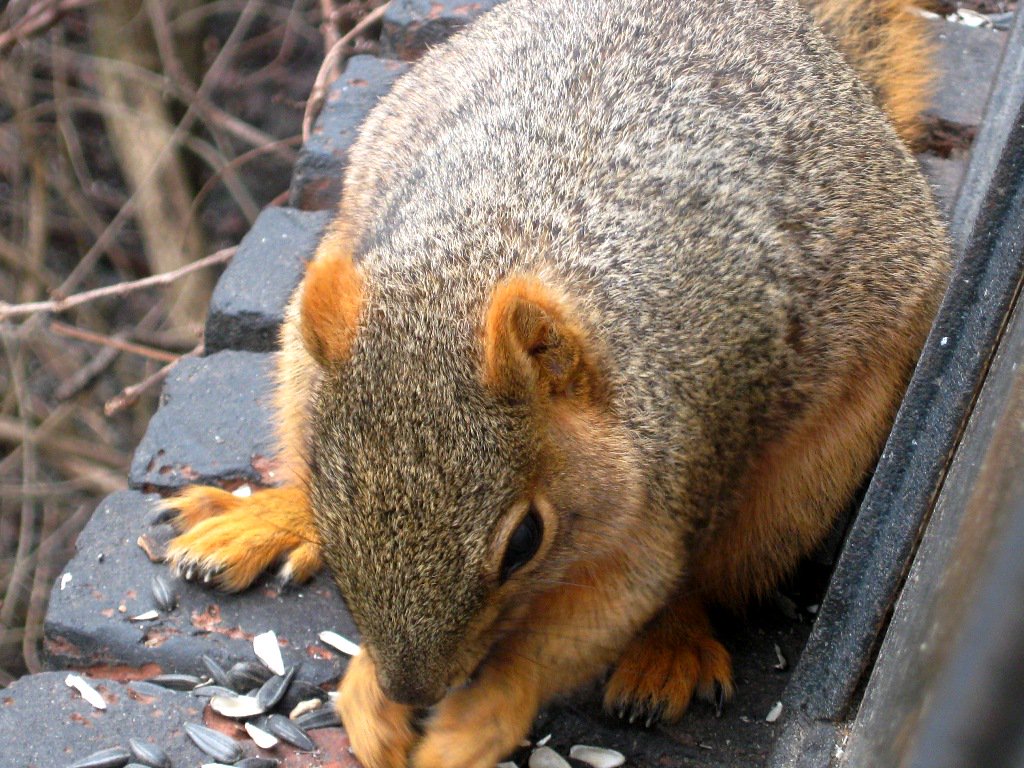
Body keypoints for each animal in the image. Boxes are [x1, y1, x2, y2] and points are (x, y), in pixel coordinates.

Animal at [160, 0, 950, 766]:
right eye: (336, 503)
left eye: (524, 542)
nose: (413, 688)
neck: (491, 252)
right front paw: (370, 697)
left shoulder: (666, 483)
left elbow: (597, 618)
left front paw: (476, 718)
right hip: (306, 337)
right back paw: (261, 520)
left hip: (807, 481)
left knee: (710, 581)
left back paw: (669, 648)